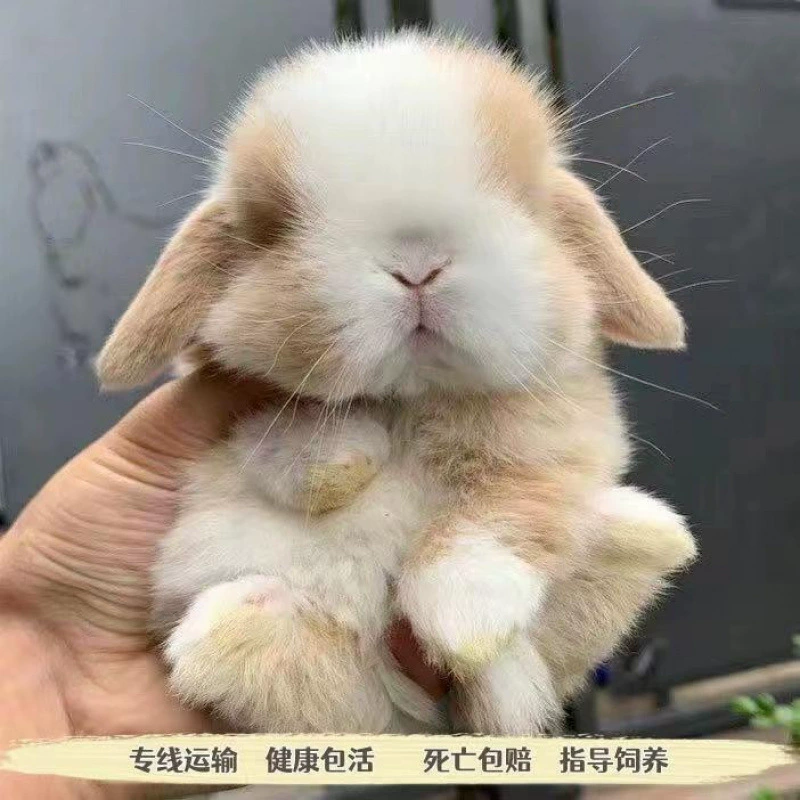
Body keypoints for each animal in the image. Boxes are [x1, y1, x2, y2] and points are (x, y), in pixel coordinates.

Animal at [96, 32, 697, 735]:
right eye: (278, 226)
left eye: (522, 200)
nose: (417, 265)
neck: (411, 396)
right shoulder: (237, 413)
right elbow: (278, 439)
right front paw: (341, 460)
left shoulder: (561, 433)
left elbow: (508, 503)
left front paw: (467, 616)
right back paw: (241, 626)